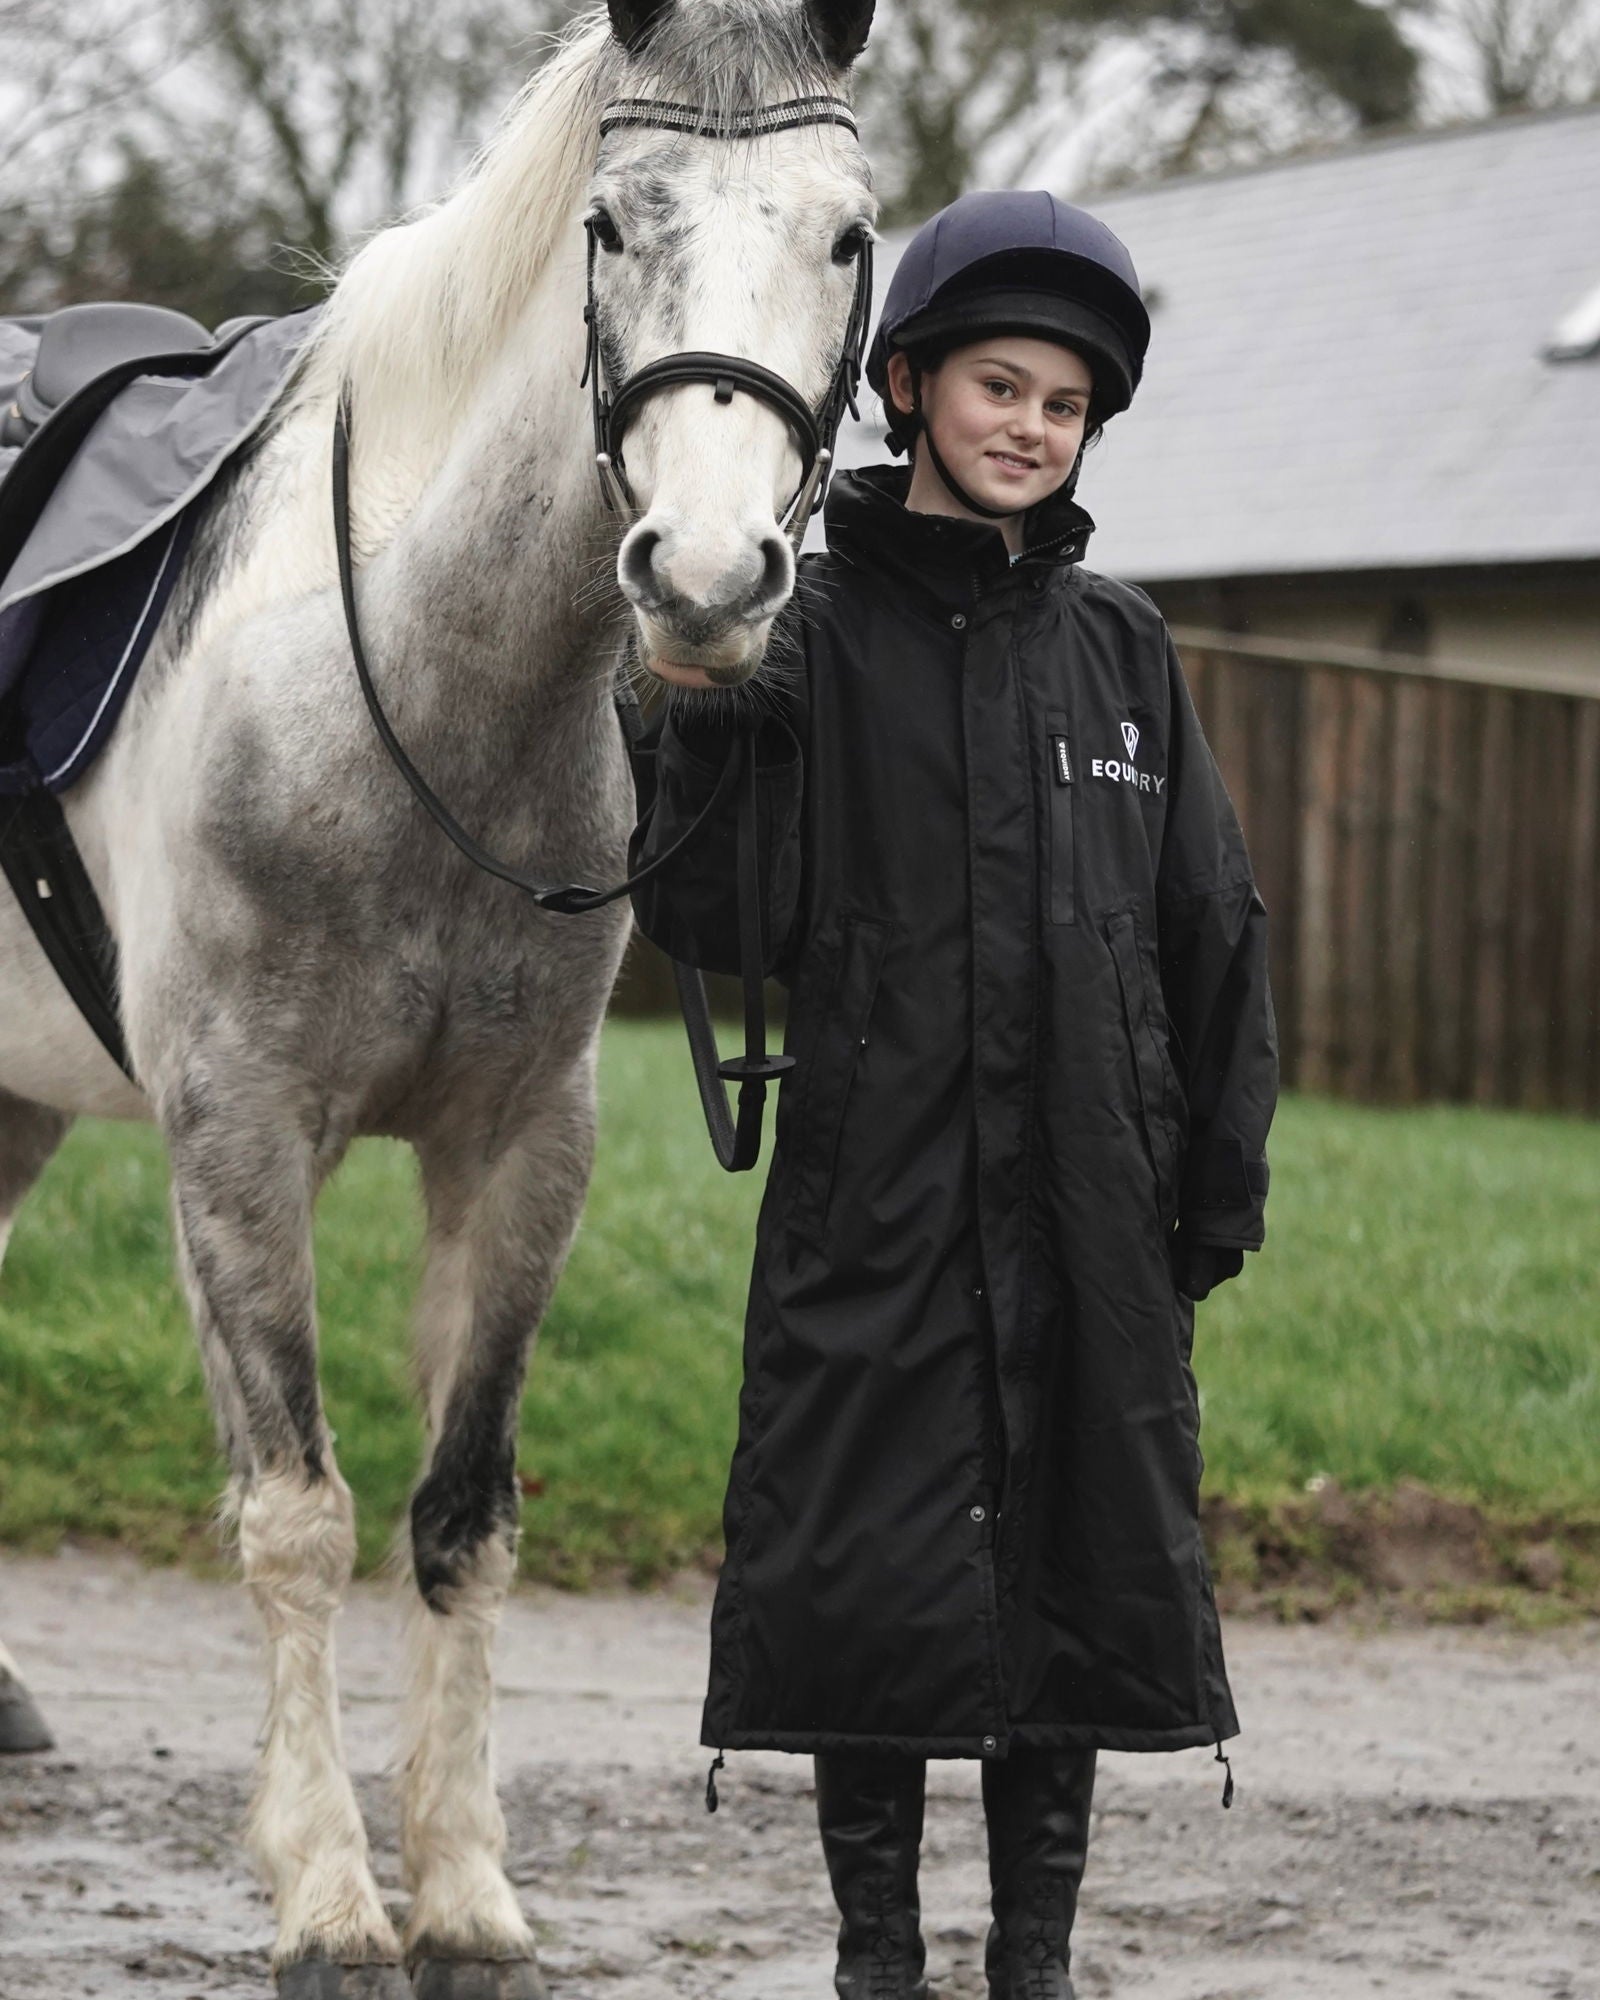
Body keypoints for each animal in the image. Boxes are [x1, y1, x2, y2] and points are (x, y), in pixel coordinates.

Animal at [0, 0, 876, 1990]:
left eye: (852, 236)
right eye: (612, 227)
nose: (708, 580)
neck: (401, 671)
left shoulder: (522, 1148)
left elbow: (464, 1516)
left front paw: (464, 1884)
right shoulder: (235, 1138)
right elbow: (299, 1516)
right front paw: (329, 1892)